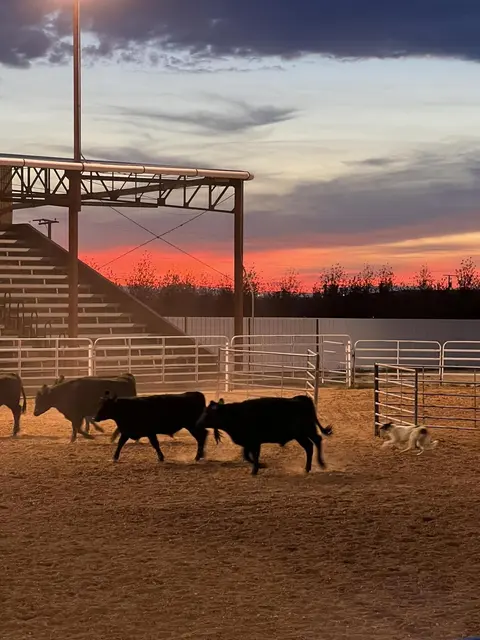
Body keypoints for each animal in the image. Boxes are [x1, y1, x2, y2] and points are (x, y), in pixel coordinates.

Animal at [195, 395, 333, 475]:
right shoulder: (249, 442)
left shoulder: (254, 442)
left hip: (305, 431)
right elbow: (247, 456)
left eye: (207, 413)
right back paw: (308, 468)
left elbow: (253, 456)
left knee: (316, 442)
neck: (235, 415)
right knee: (310, 446)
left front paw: (256, 468)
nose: (198, 423)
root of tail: (301, 399)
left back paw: (320, 464)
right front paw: (260, 466)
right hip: (301, 435)